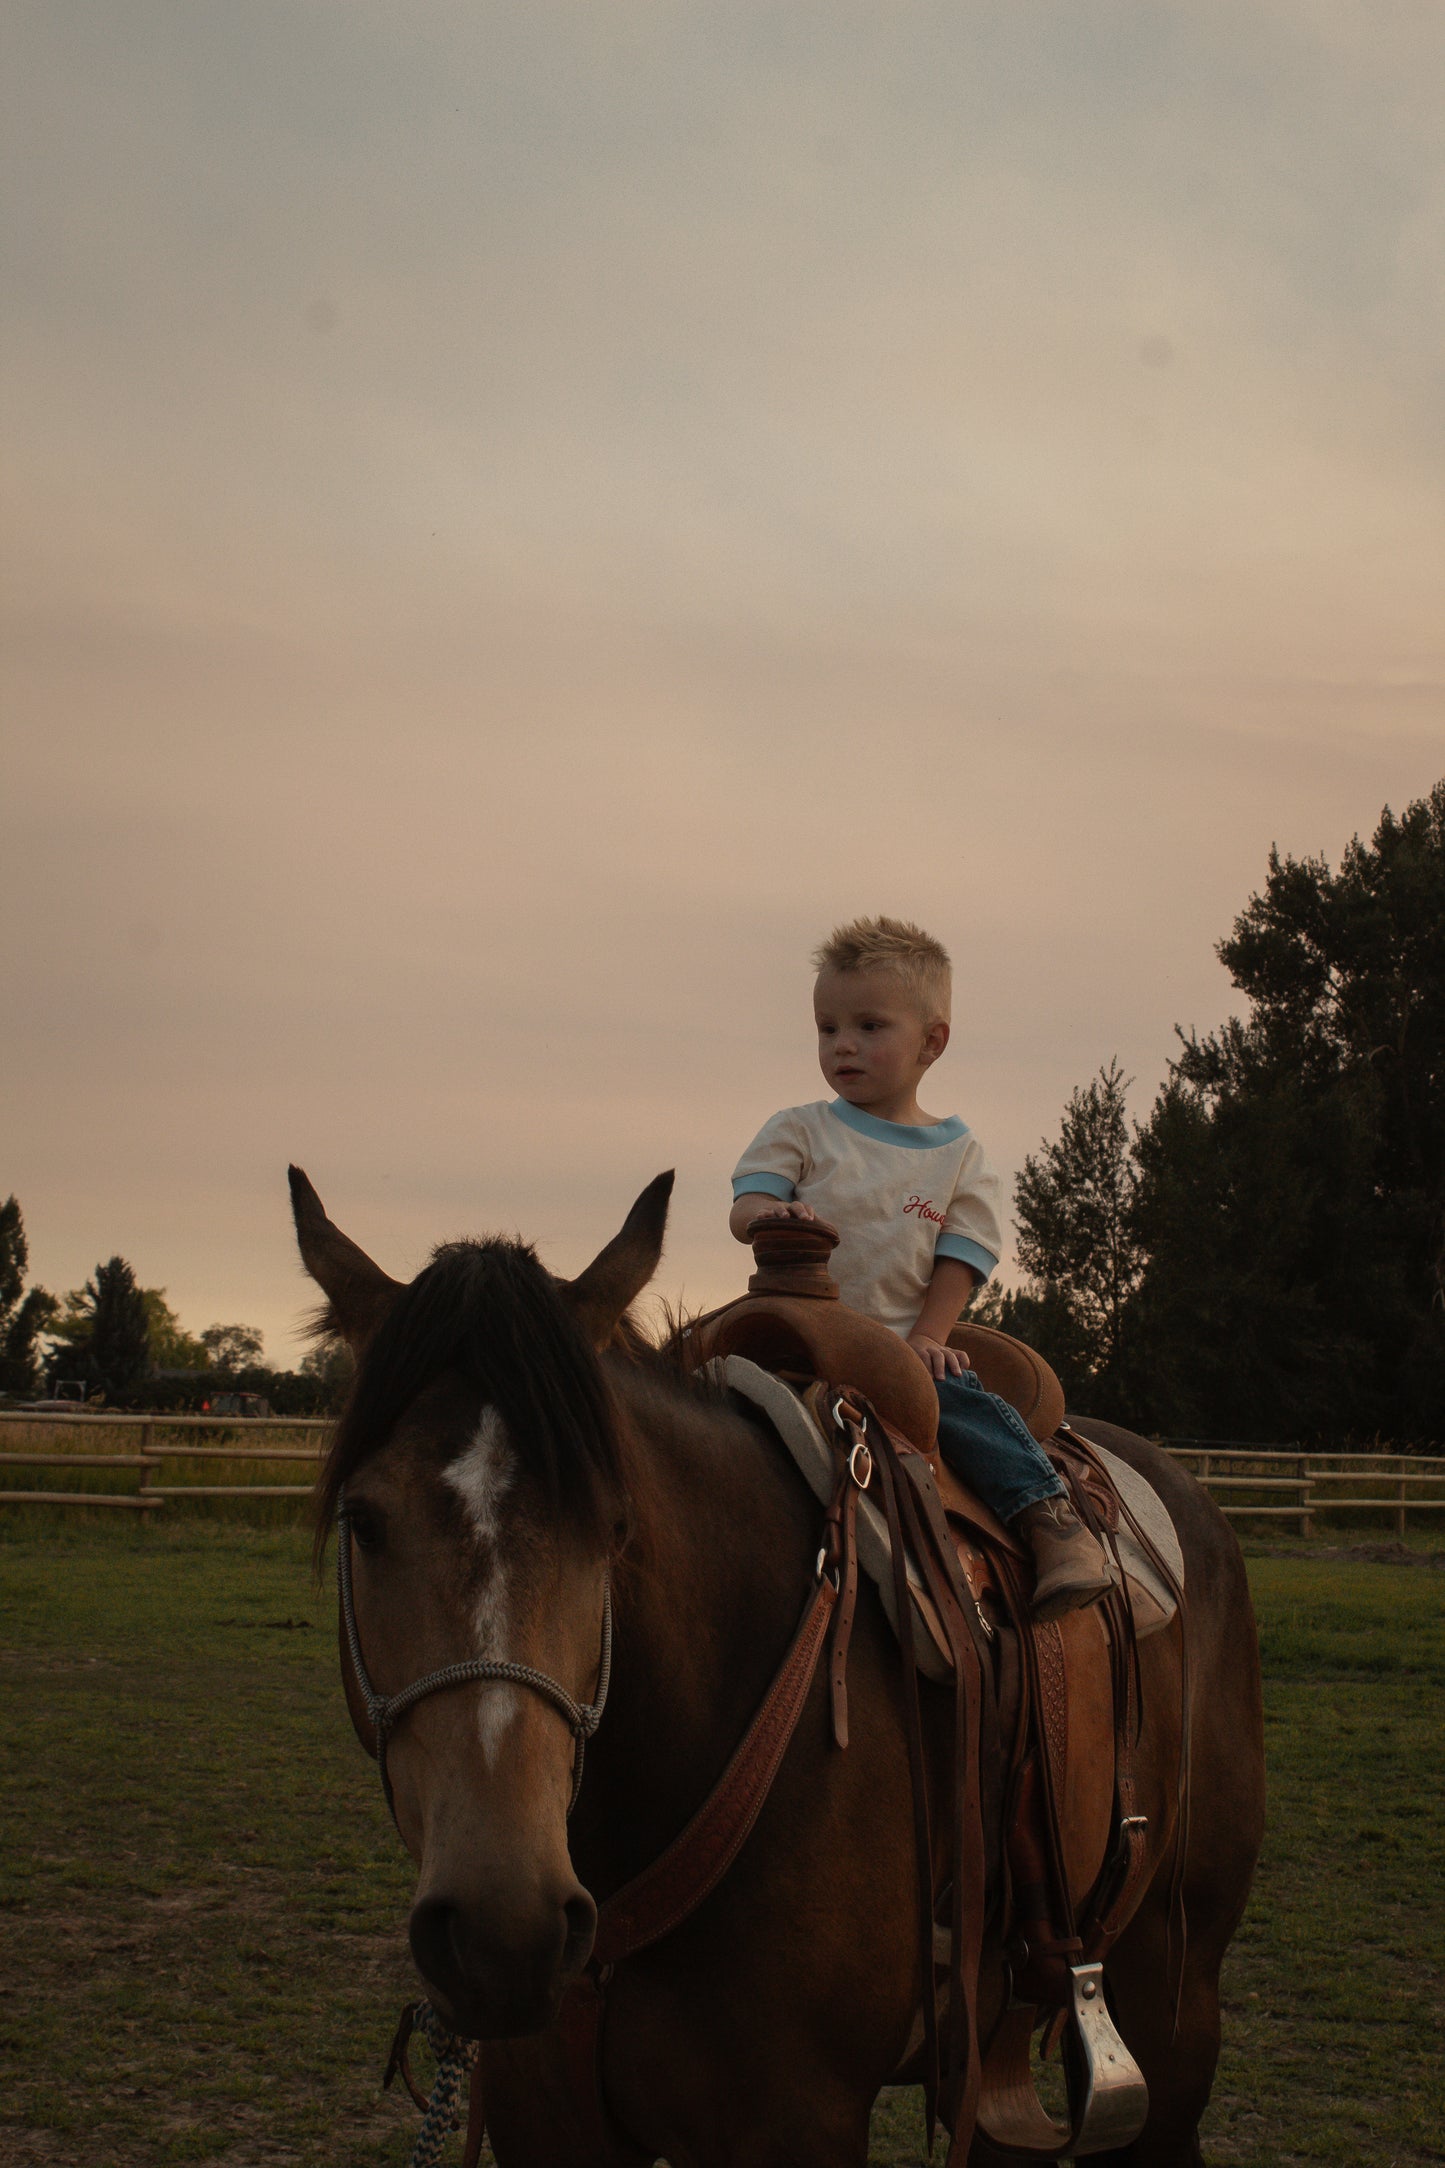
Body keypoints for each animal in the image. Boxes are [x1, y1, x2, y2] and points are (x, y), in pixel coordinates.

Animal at [294, 1170, 1265, 2168]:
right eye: (363, 1520)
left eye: (611, 1524)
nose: (504, 1931)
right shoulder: (545, 2112)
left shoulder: (793, 2118)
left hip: (1172, 1996)